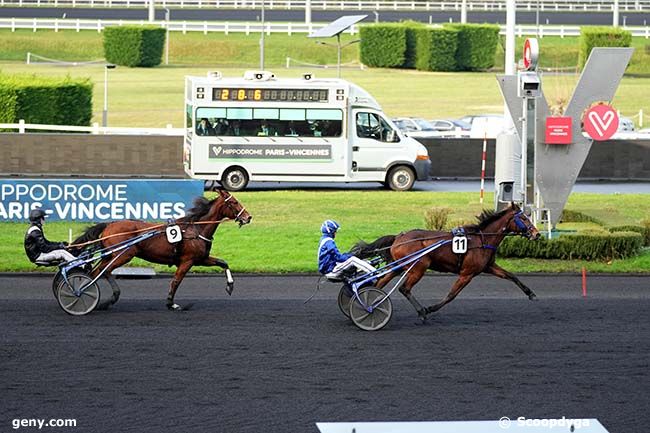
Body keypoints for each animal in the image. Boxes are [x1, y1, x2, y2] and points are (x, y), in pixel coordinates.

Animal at [71, 191, 251, 308]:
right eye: (234, 202)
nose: (248, 217)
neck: (196, 229)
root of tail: (109, 224)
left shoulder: (201, 259)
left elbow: (223, 263)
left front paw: (230, 286)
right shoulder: (188, 260)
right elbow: (176, 280)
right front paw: (171, 303)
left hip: (112, 255)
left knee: (100, 272)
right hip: (124, 255)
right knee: (101, 272)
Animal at [352, 202, 540, 318]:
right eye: (524, 218)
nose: (537, 234)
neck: (482, 239)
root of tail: (399, 237)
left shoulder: (488, 266)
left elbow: (511, 276)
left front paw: (531, 294)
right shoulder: (467, 273)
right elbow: (451, 295)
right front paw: (431, 308)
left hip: (399, 266)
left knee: (379, 283)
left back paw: (369, 304)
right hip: (419, 266)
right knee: (404, 289)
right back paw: (421, 311)